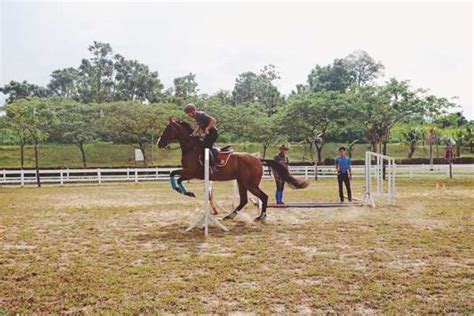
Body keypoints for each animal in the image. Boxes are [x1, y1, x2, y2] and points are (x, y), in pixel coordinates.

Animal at [157, 119, 310, 222]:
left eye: (167, 129)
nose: (159, 143)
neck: (192, 148)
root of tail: (258, 159)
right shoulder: (187, 171)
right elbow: (173, 174)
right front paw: (184, 191)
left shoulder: (191, 172)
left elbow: (177, 177)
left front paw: (187, 192)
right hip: (241, 182)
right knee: (244, 200)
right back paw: (230, 215)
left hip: (250, 184)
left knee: (263, 197)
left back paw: (261, 217)